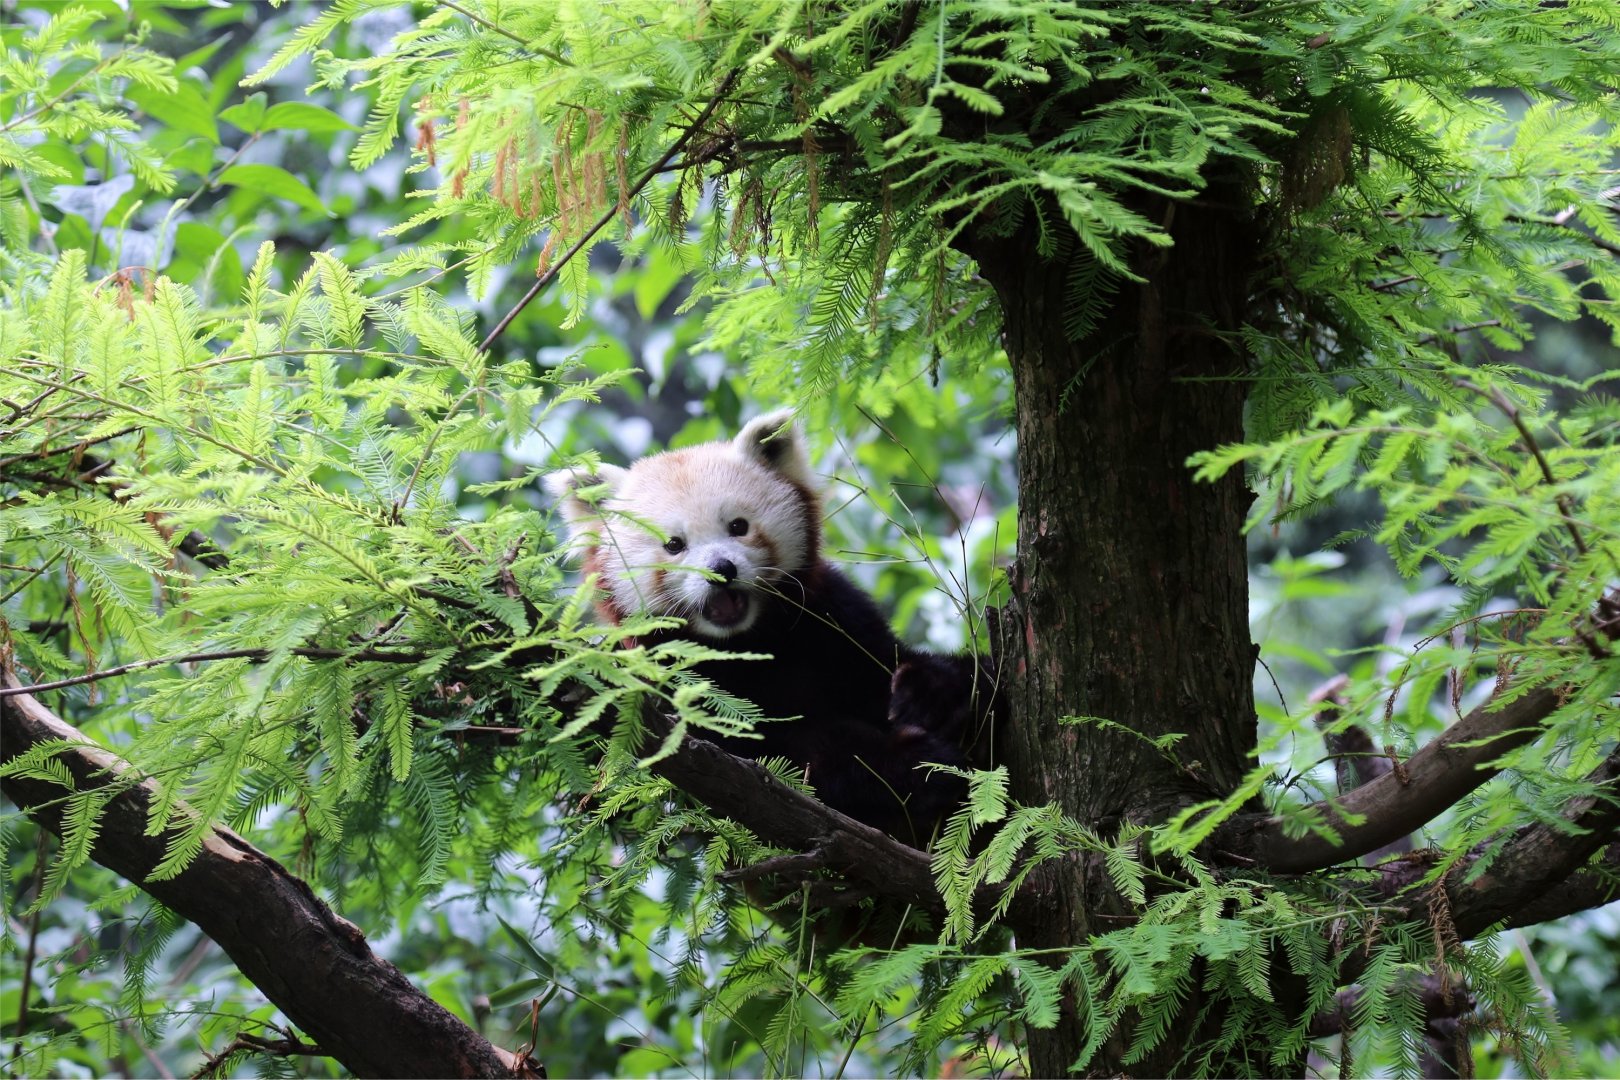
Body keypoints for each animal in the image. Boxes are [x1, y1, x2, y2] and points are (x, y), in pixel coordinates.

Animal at [544, 409, 998, 848]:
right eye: (674, 545)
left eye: (738, 526)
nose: (721, 571)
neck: (747, 642)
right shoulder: (677, 686)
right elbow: (791, 757)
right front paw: (910, 763)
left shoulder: (830, 620)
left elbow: (896, 663)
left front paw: (929, 692)